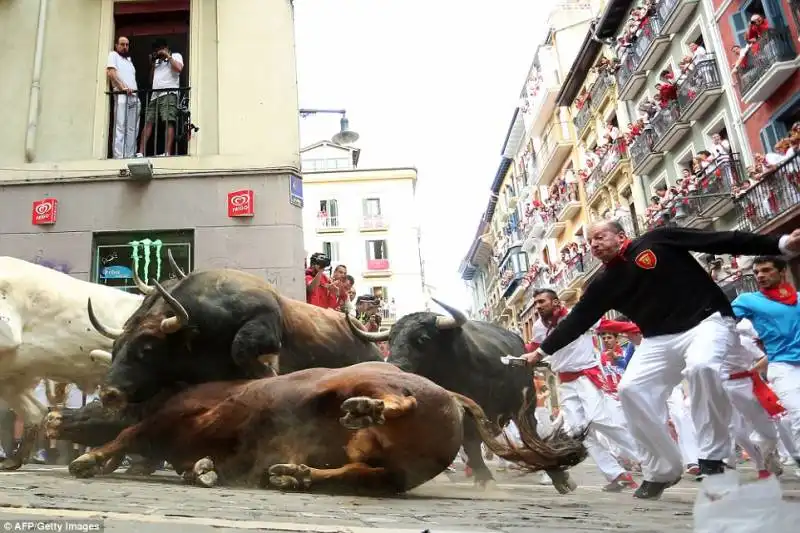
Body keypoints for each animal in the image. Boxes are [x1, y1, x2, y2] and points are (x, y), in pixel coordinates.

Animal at [59, 360, 584, 492]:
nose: (55, 419)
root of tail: (450, 396)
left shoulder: (190, 414)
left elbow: (129, 433)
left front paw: (89, 460)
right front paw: (202, 471)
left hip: (367, 378)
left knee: (397, 399)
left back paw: (362, 410)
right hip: (388, 467)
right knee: (363, 472)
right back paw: (294, 475)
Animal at [346, 298, 588, 492]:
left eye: (422, 338)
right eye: (391, 340)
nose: (392, 367)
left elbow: (477, 439)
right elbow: (466, 442)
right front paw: (482, 475)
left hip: (524, 407)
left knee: (531, 433)